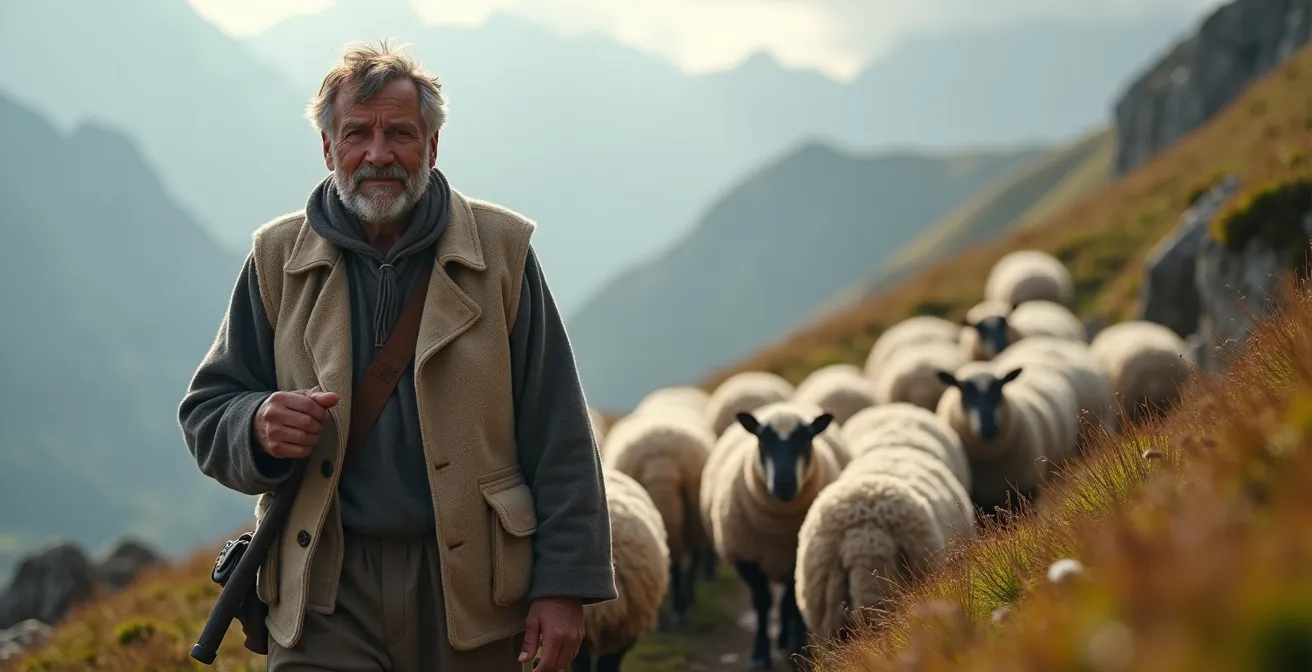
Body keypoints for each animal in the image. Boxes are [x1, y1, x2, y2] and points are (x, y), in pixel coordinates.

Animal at [702, 402, 845, 670]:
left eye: (806, 438)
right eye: (762, 439)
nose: (784, 484)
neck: (778, 527)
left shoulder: (796, 558)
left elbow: (790, 604)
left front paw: (798, 651)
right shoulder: (745, 556)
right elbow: (762, 602)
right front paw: (760, 655)